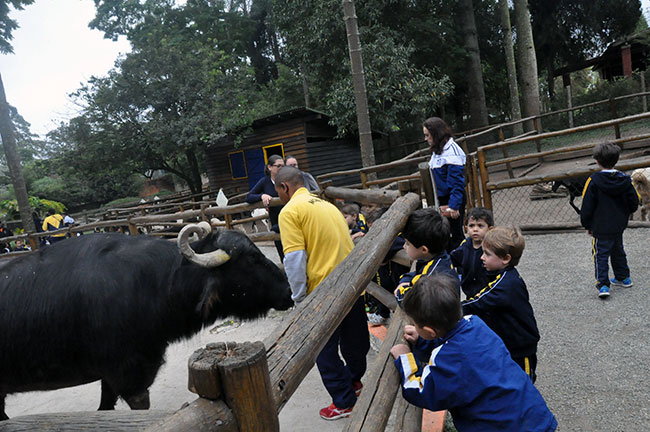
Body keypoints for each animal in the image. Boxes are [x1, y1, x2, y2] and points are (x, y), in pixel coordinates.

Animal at [0, 223, 292, 418]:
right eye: (251, 259)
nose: (288, 290)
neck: (152, 284)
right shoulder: (131, 376)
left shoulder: (112, 376)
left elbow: (105, 408)